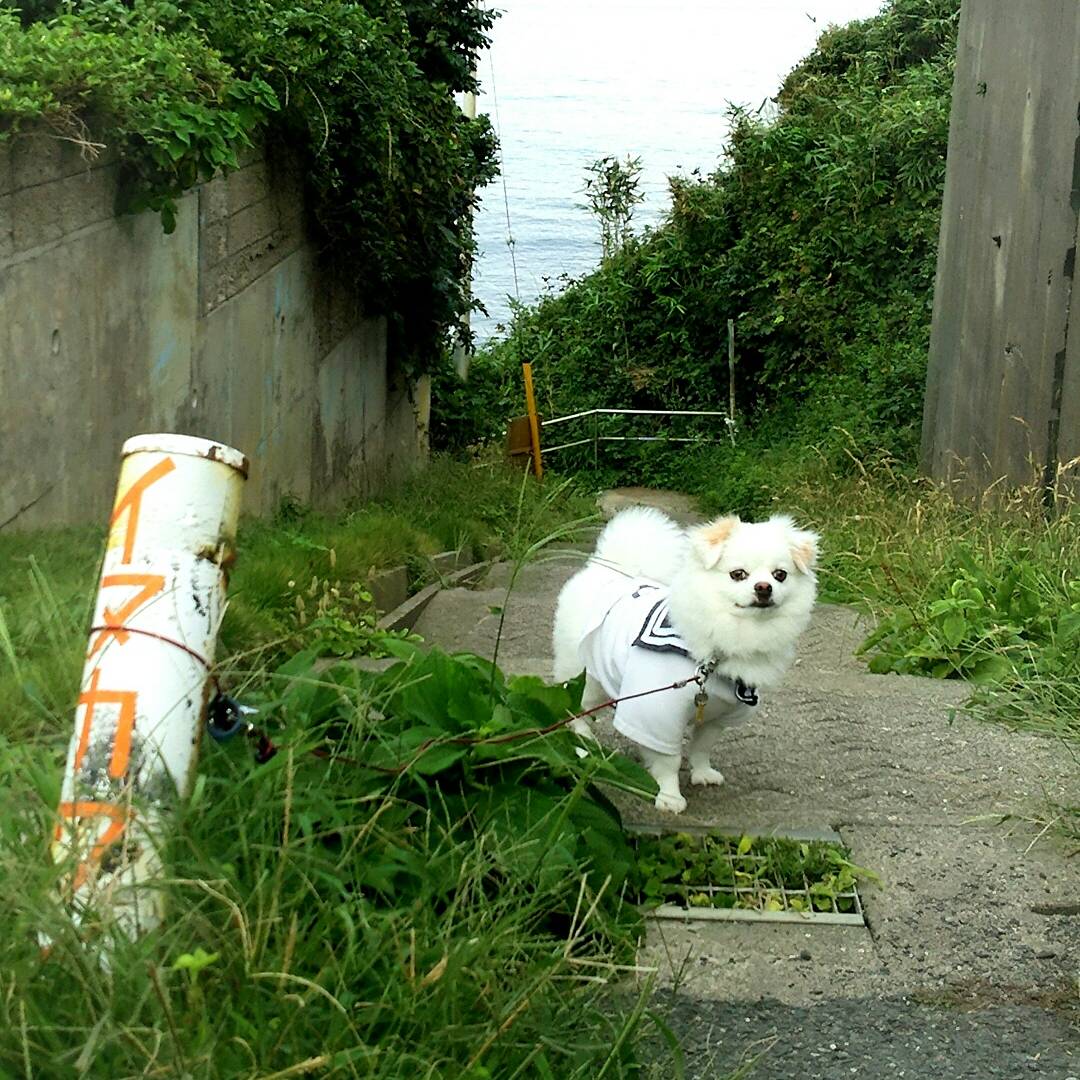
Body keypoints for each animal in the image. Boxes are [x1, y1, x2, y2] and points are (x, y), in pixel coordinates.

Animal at [552, 509, 812, 812]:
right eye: (738, 574)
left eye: (780, 575)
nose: (764, 588)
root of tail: (610, 569)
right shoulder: (657, 712)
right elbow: (670, 761)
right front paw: (669, 796)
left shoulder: (717, 715)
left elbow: (701, 747)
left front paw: (702, 773)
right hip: (585, 677)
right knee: (576, 709)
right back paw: (584, 744)